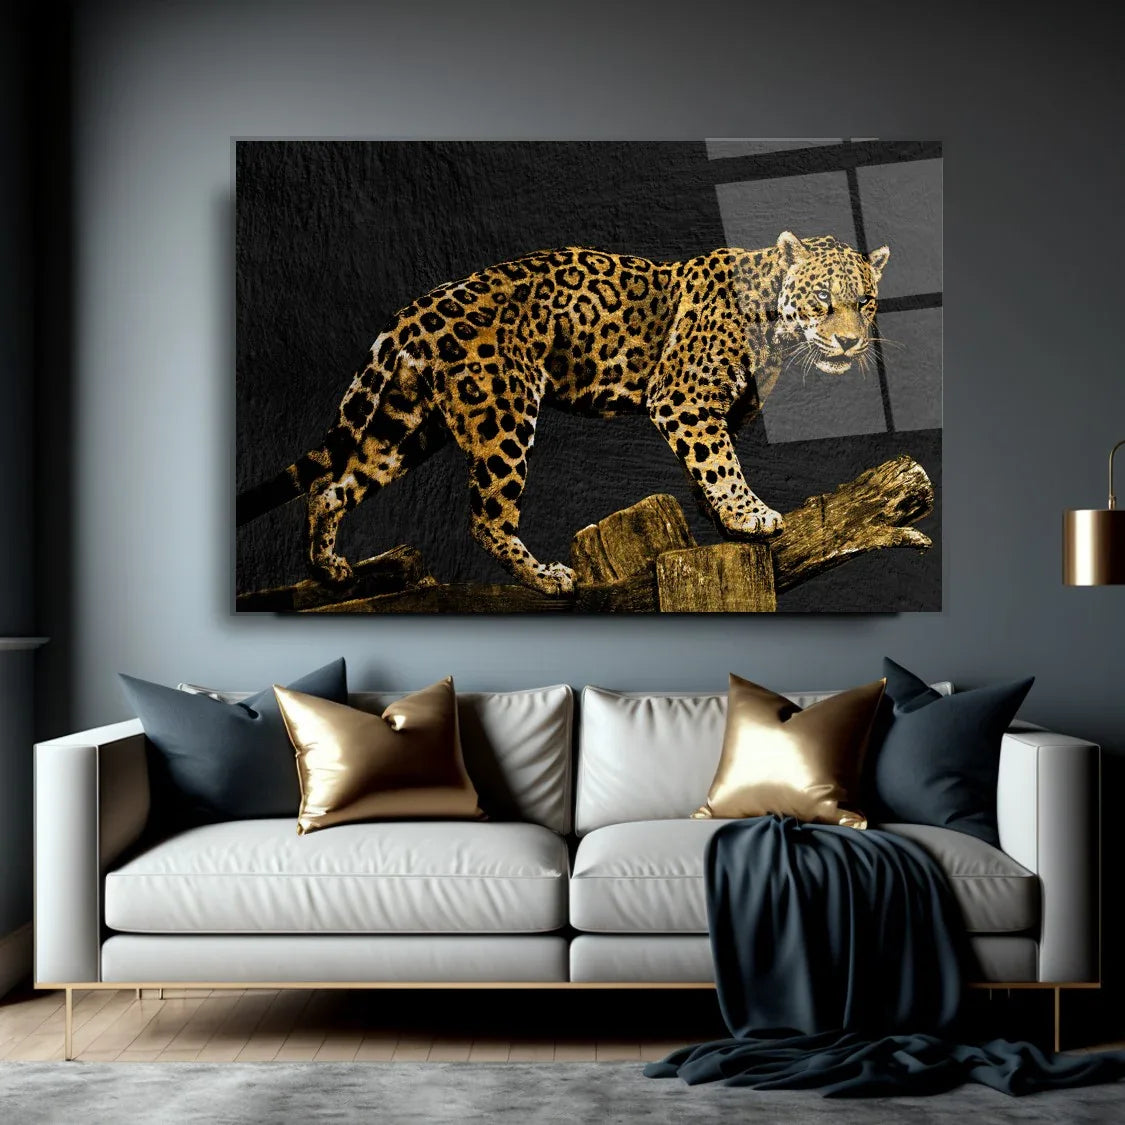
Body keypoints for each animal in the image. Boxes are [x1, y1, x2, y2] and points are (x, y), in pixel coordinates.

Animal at [237, 231, 890, 596]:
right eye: (822, 300)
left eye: (866, 302)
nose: (851, 342)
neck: (777, 326)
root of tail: (420, 306)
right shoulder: (682, 397)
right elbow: (721, 464)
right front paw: (749, 515)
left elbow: (708, 467)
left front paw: (725, 521)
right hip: (501, 414)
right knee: (487, 518)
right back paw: (546, 577)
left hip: (407, 424)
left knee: (332, 486)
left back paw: (328, 569)